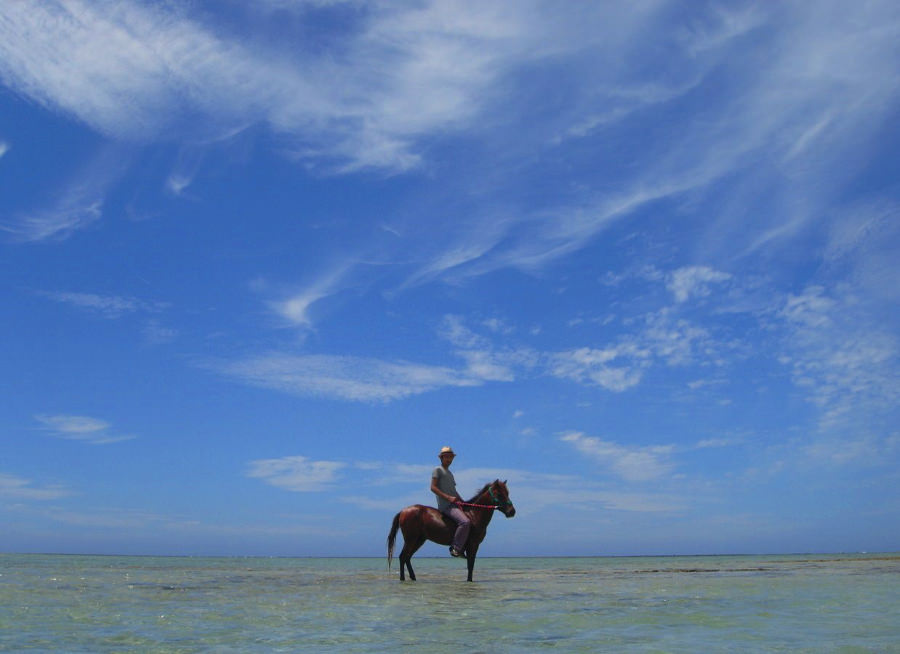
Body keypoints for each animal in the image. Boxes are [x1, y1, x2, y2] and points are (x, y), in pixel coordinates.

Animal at [387, 479, 515, 582]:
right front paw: (469, 581)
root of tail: (404, 511)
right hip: (411, 539)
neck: (474, 515)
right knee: (403, 557)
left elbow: (471, 565)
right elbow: (471, 565)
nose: (512, 511)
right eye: (499, 494)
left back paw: (413, 577)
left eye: (508, 493)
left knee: (407, 557)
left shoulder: (473, 546)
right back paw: (402, 579)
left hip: (419, 540)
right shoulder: (472, 545)